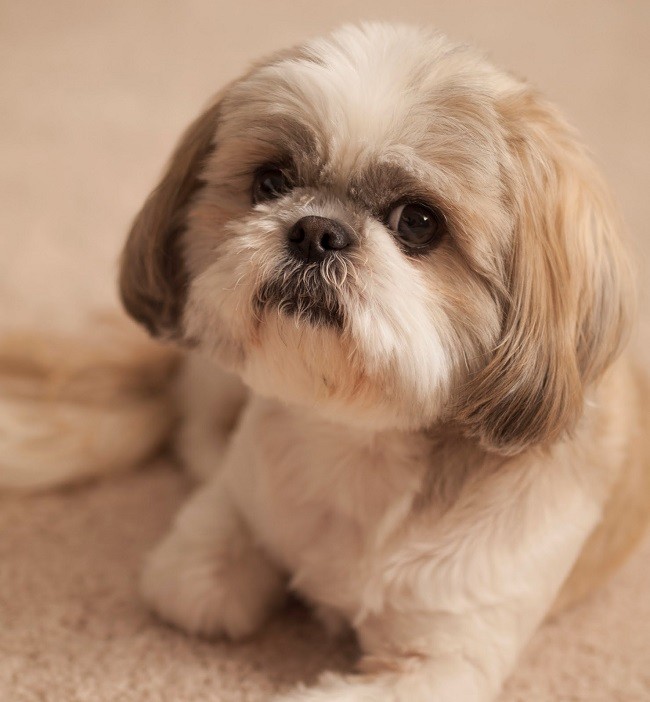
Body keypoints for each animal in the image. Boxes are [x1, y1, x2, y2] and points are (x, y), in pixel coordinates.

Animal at [2, 22, 644, 702]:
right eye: (271, 182)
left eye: (418, 222)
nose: (316, 231)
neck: (360, 441)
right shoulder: (223, 526)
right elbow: (199, 586)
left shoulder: (446, 657)